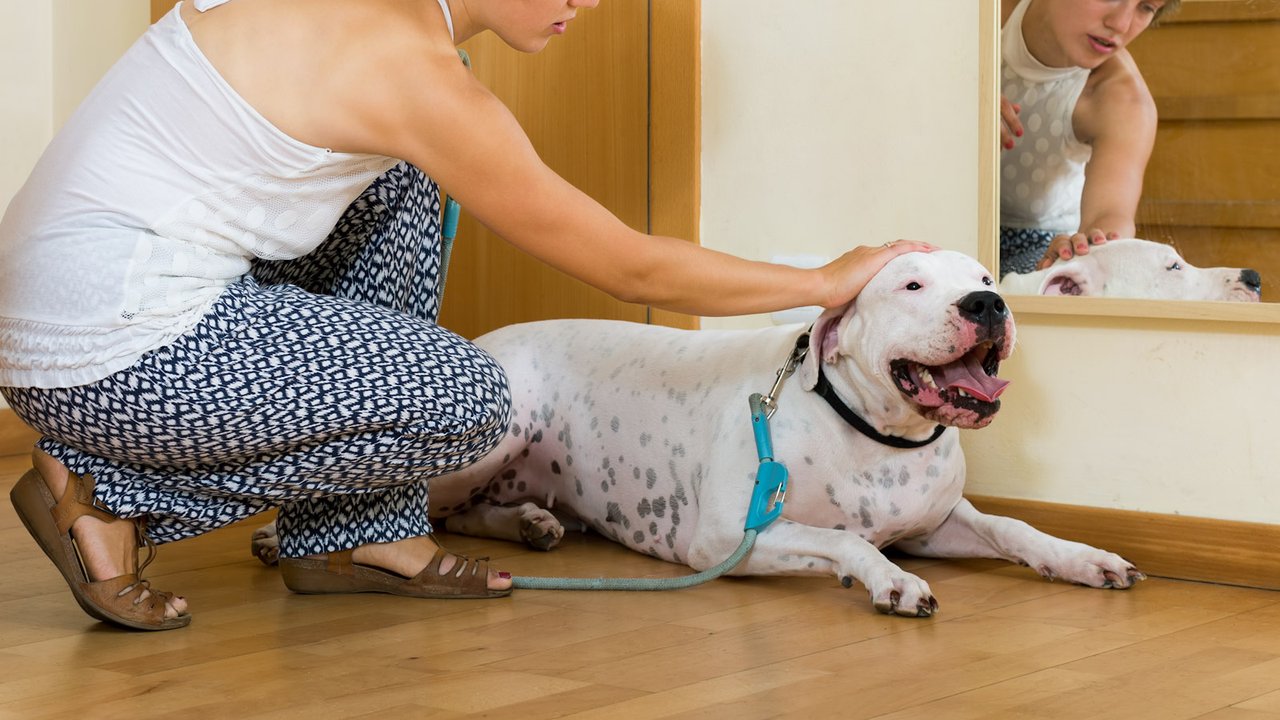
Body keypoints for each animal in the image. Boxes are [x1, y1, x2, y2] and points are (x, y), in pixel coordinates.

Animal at [249, 249, 1141, 614]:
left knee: (473, 513)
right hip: (498, 428)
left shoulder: (933, 520)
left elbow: (1014, 527)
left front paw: (1082, 556)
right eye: (912, 283)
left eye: (986, 276)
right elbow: (844, 540)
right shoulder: (723, 538)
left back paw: (535, 522)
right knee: (423, 504)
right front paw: (887, 581)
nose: (988, 304)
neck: (872, 433)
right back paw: (277, 540)